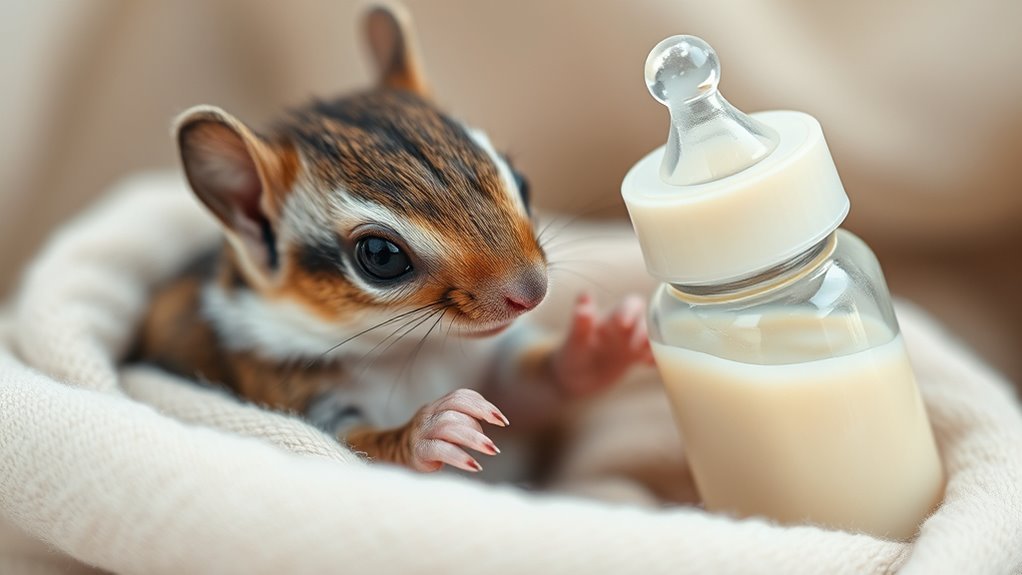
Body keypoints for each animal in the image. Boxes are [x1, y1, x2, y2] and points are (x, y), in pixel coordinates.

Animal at [136, 4, 652, 474]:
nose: (532, 292)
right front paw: (431, 428)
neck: (412, 353)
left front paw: (598, 345)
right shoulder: (294, 398)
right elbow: (362, 449)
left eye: (521, 181)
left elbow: (530, 393)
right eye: (380, 256)